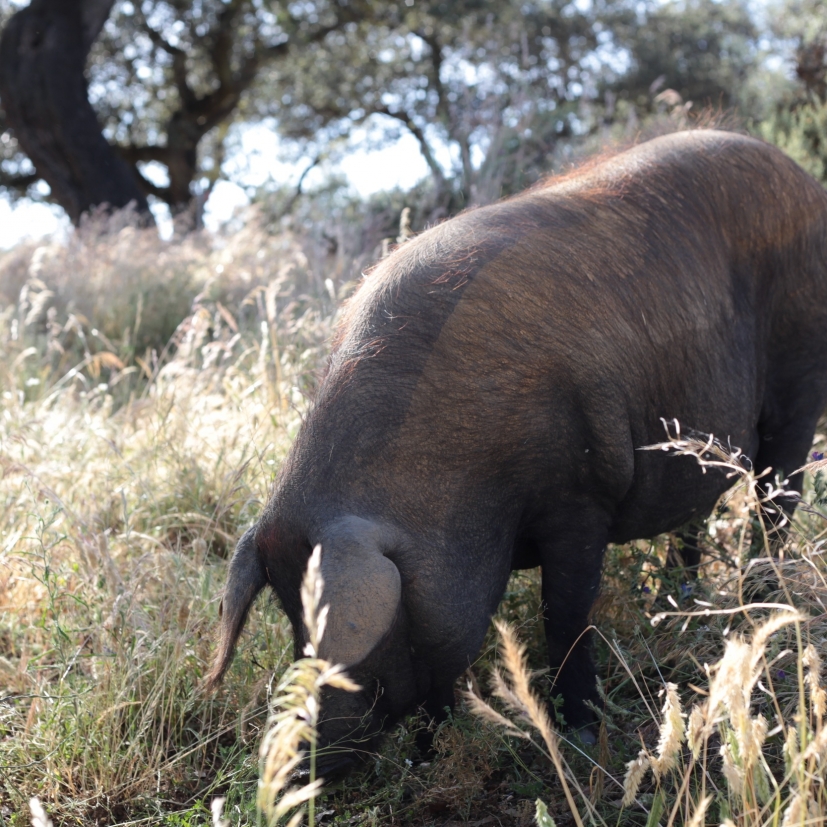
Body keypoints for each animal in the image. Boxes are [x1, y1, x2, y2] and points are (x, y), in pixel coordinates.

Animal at [210, 131, 827, 776]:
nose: (288, 761)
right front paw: (432, 756)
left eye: (329, 633)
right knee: (695, 517)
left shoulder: (580, 496)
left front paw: (581, 735)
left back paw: (763, 600)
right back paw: (679, 596)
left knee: (778, 495)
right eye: (287, 616)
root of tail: (806, 181)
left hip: (802, 369)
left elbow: (566, 615)